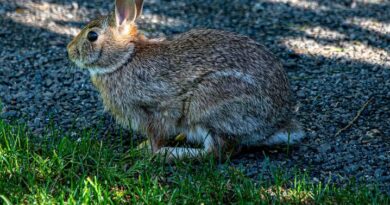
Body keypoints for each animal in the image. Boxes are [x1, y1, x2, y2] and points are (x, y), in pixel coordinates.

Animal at [67, 0, 304, 160]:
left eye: (92, 36)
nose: (69, 51)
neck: (125, 58)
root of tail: (276, 124)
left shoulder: (153, 111)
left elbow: (156, 136)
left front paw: (145, 150)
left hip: (208, 106)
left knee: (217, 152)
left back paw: (172, 154)